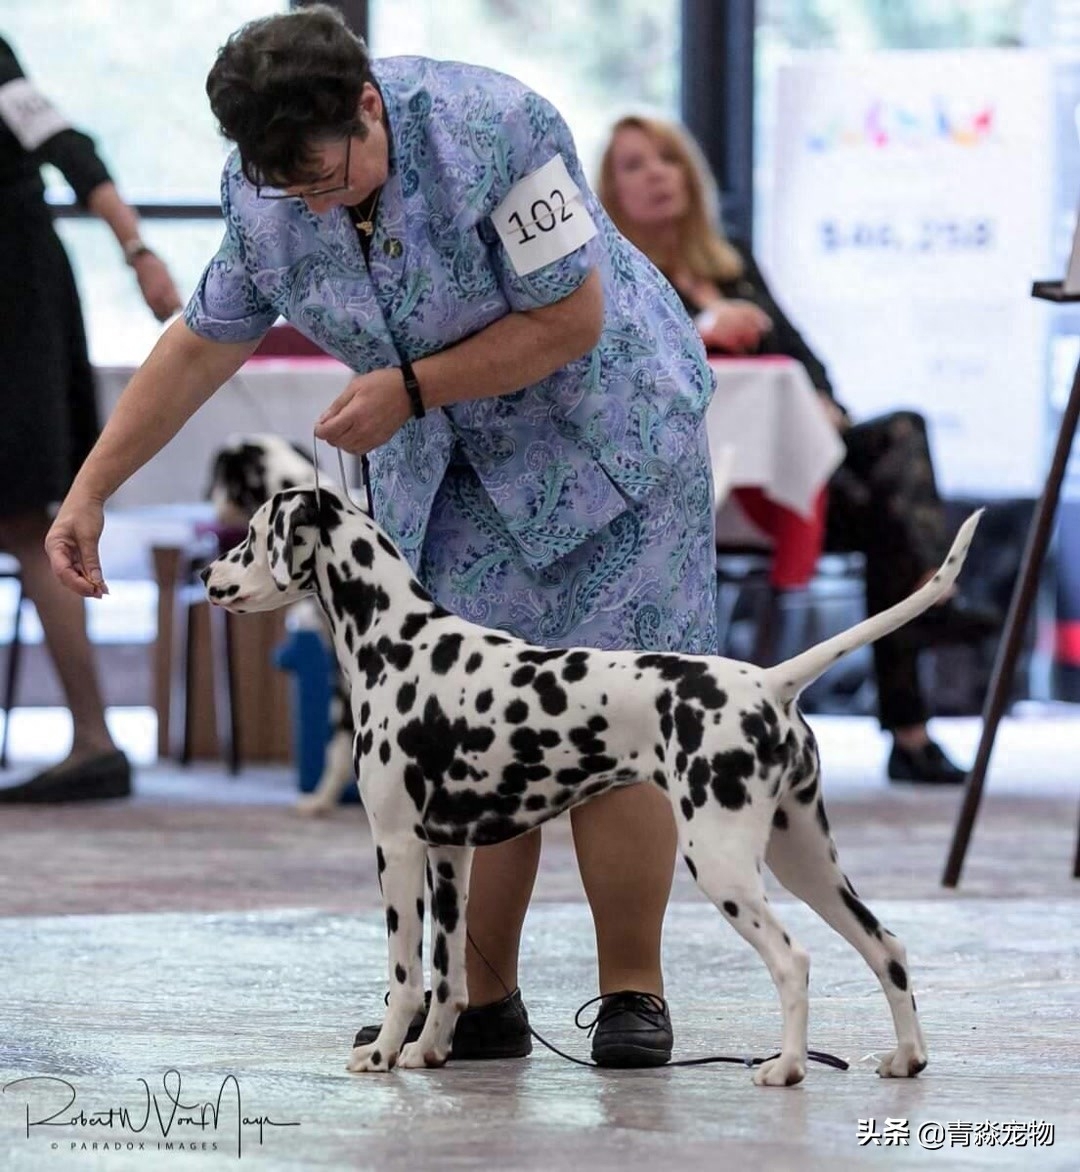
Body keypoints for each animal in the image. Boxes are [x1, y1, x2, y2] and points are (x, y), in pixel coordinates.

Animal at [197, 480, 979, 1082]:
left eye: (251, 537)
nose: (207, 576)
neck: (401, 643)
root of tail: (770, 682)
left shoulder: (397, 846)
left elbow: (404, 974)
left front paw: (386, 1054)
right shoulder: (451, 853)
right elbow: (448, 975)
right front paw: (431, 1052)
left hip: (723, 861)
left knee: (794, 960)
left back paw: (784, 1068)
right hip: (805, 860)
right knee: (887, 948)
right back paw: (907, 1059)